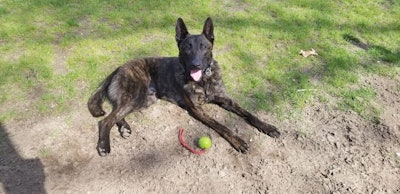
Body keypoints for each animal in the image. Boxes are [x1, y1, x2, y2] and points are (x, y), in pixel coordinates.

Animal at [88, 17, 280, 156]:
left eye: (204, 47)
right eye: (187, 48)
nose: (196, 65)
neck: (203, 80)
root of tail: (120, 67)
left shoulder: (226, 100)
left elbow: (248, 113)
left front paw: (268, 127)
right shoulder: (197, 110)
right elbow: (221, 126)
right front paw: (238, 140)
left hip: (145, 100)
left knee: (116, 114)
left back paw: (125, 129)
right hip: (136, 96)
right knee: (106, 120)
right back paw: (104, 146)